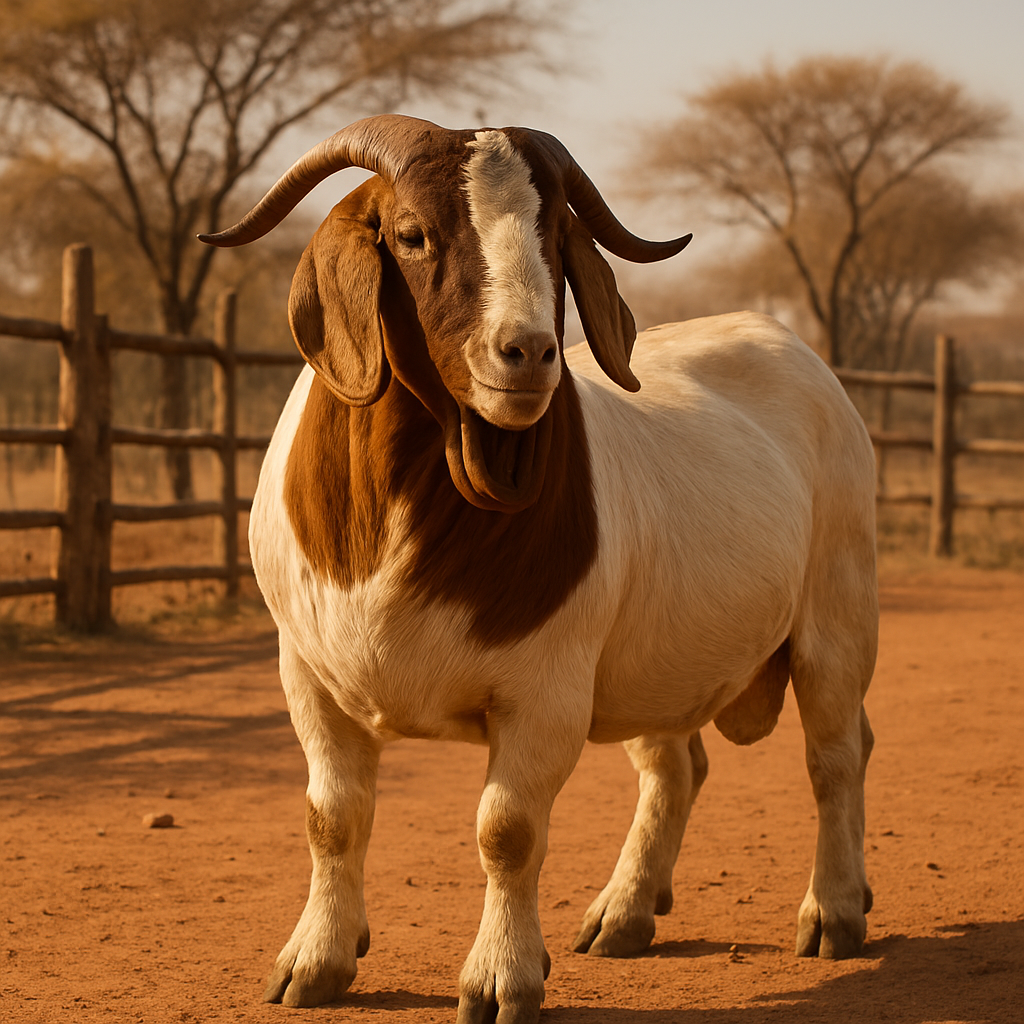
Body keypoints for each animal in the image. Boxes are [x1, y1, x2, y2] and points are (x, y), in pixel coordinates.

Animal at [200, 114, 878, 1024]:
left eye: (555, 235)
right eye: (412, 234)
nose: (526, 352)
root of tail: (788, 344)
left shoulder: (545, 689)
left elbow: (507, 832)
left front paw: (500, 978)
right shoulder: (306, 673)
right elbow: (331, 818)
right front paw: (316, 960)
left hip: (839, 606)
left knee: (836, 752)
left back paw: (834, 911)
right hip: (658, 658)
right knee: (675, 768)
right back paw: (624, 912)